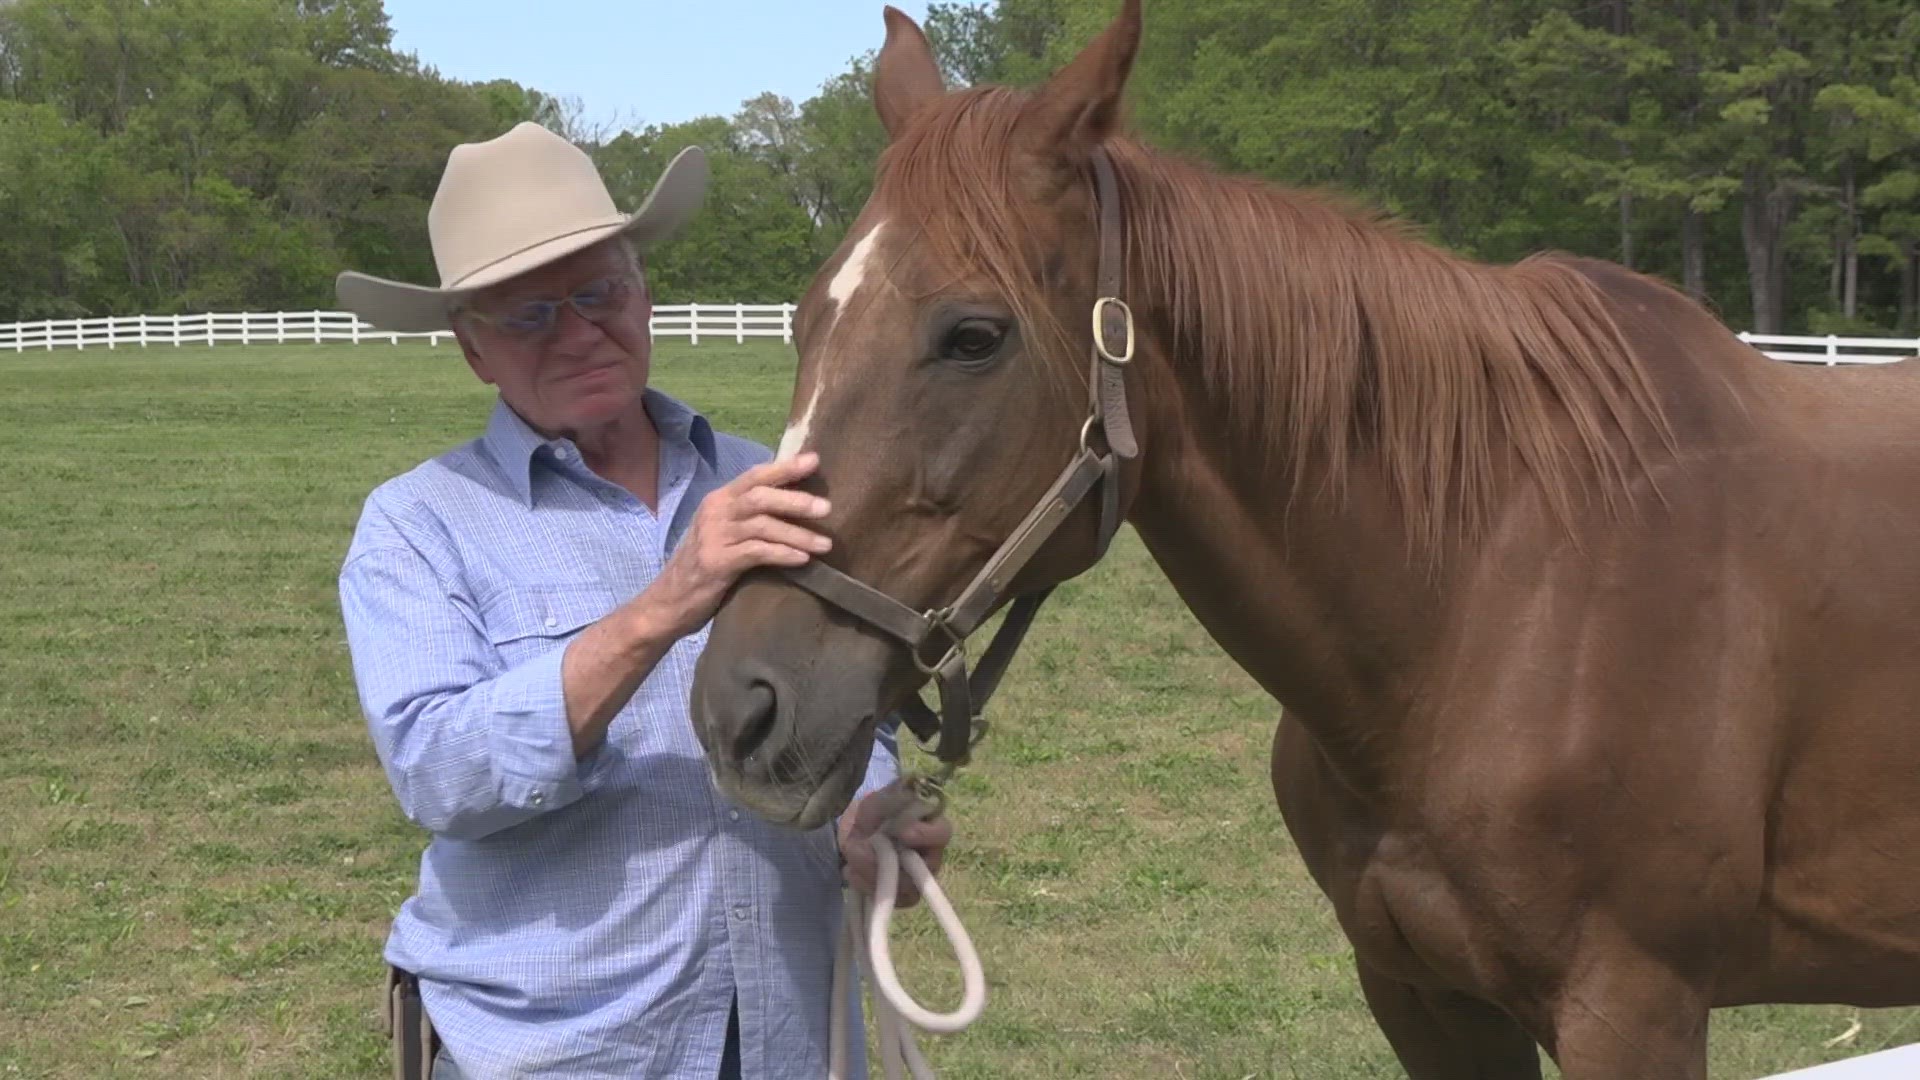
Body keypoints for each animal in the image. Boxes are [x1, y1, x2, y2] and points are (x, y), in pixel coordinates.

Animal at [687, 4, 1920, 1068]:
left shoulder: (1634, 1009)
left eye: (974, 336)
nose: (739, 709)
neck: (1502, 600)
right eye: (805, 318)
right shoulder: (1423, 994)